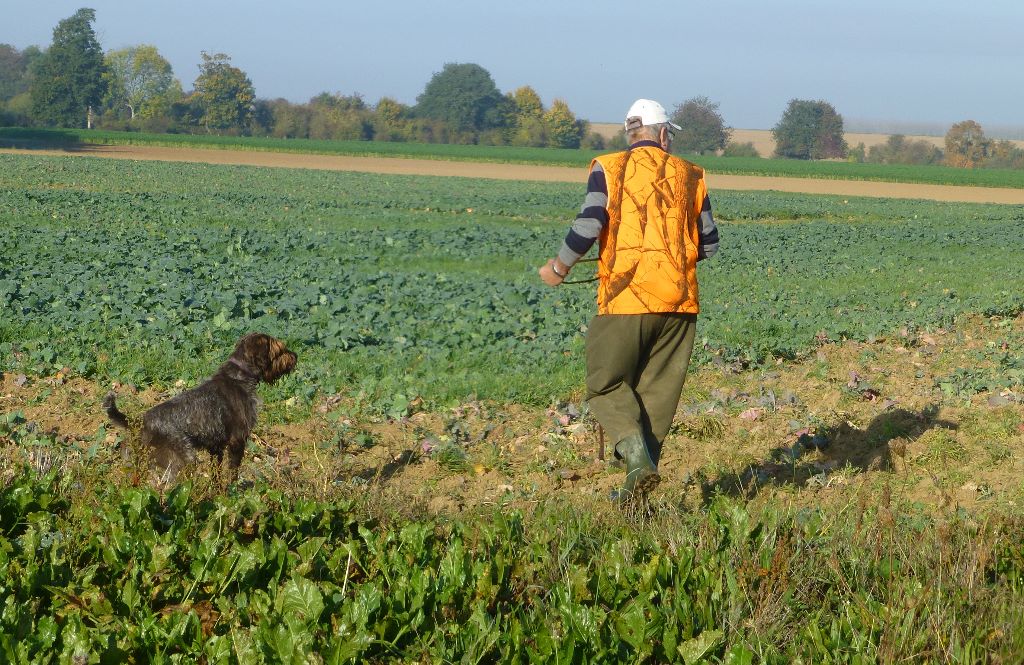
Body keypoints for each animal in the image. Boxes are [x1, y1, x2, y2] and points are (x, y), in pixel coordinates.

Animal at [102, 334, 296, 479]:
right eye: (280, 350)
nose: (295, 356)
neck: (239, 375)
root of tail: (139, 422)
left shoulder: (216, 448)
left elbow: (216, 477)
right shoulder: (238, 440)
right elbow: (232, 475)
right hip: (180, 462)